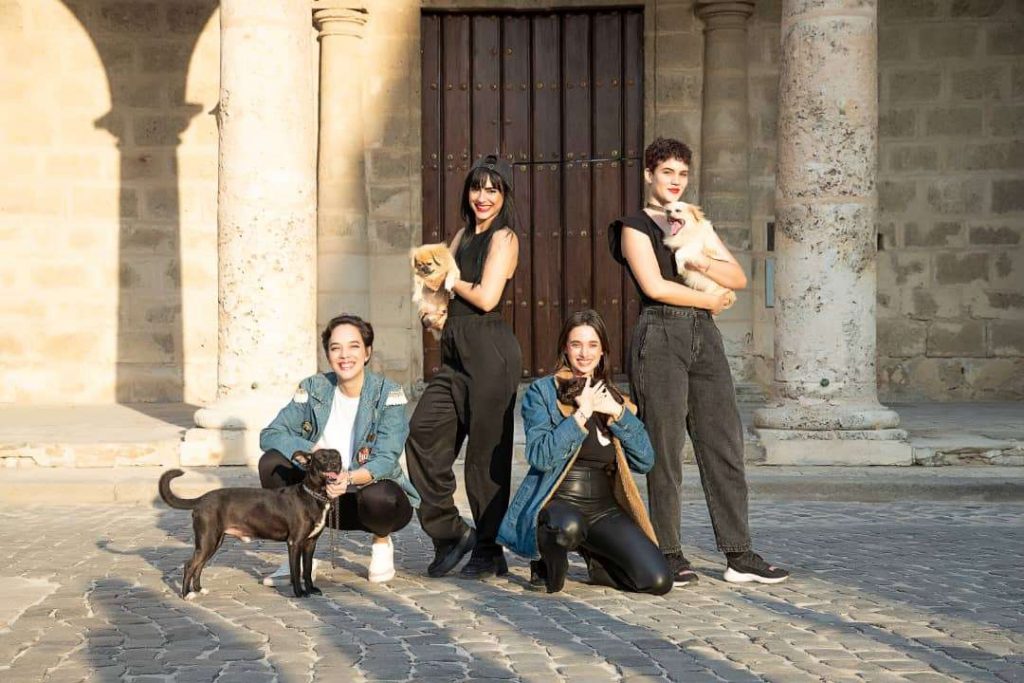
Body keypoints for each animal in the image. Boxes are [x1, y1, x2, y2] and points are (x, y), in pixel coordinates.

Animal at [159, 450, 342, 602]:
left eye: (337, 456)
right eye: (322, 457)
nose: (335, 464)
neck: (313, 496)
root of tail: (201, 499)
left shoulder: (310, 543)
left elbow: (308, 569)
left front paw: (311, 589)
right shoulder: (294, 543)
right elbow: (296, 571)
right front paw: (299, 593)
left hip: (214, 542)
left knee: (199, 565)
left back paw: (199, 589)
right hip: (207, 541)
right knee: (190, 565)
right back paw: (186, 594)